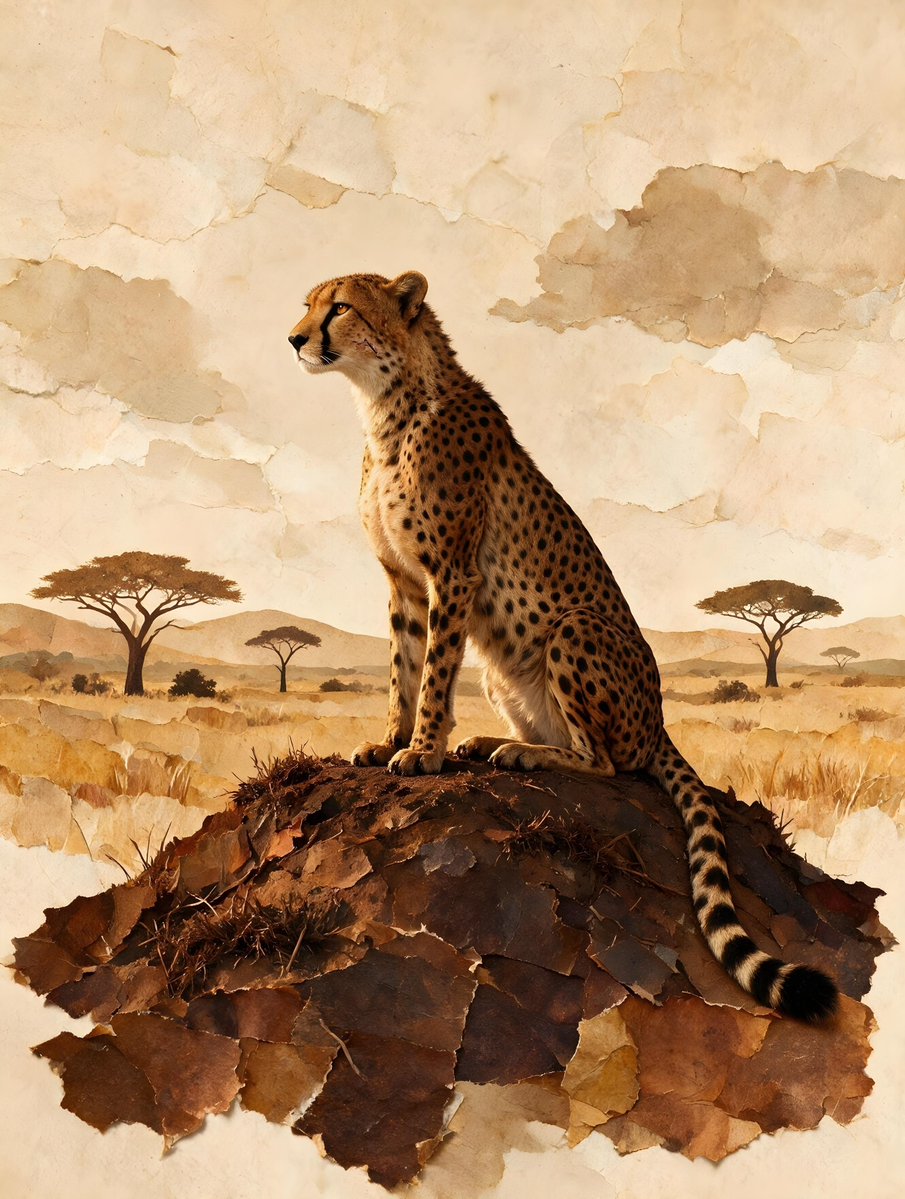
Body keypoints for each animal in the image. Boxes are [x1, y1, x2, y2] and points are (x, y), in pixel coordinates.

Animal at [288, 269, 838, 1022]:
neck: (385, 402)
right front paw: (391, 739)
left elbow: (433, 674)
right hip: (503, 673)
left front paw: (423, 751)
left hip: (572, 629)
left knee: (606, 762)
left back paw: (520, 752)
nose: (294, 339)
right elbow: (404, 668)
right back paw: (492, 743)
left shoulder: (452, 574)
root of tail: (659, 722)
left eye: (339, 307)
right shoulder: (403, 582)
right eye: (309, 303)